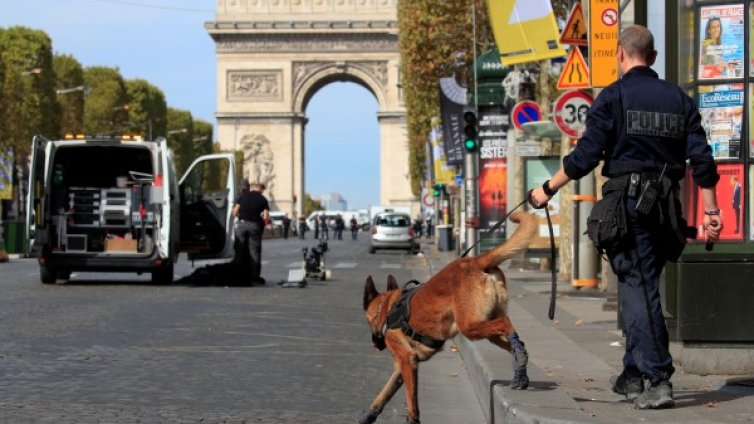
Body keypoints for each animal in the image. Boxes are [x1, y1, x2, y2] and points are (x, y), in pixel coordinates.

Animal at [358, 212, 536, 424]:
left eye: (368, 321)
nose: (375, 344)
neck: (387, 309)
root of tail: (475, 261)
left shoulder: (407, 360)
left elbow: (411, 401)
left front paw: (412, 419)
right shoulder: (402, 367)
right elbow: (382, 395)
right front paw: (368, 416)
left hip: (469, 327)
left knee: (506, 324)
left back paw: (519, 356)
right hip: (486, 328)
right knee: (515, 341)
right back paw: (520, 370)